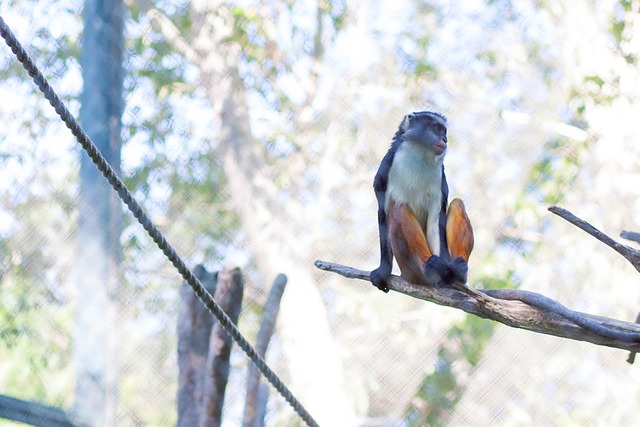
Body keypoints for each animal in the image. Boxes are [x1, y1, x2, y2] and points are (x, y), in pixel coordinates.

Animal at [370, 111, 474, 293]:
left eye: (444, 131)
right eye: (436, 128)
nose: (445, 139)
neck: (419, 154)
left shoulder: (440, 179)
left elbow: (436, 221)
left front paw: (447, 275)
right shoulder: (385, 170)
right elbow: (383, 213)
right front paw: (382, 271)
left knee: (457, 203)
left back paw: (457, 271)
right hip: (409, 270)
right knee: (398, 209)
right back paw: (429, 266)